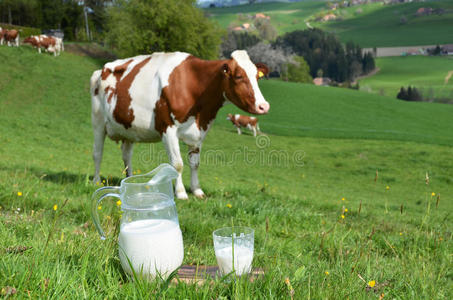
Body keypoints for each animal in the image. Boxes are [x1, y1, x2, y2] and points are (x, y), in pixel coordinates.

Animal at [90, 49, 270, 199]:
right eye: (239, 76)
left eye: (257, 77)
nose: (264, 106)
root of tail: (101, 70)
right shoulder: (167, 128)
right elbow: (177, 164)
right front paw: (181, 192)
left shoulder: (199, 132)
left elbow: (195, 163)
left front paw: (197, 190)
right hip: (98, 122)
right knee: (98, 153)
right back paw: (96, 181)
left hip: (129, 128)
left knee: (127, 155)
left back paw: (132, 181)